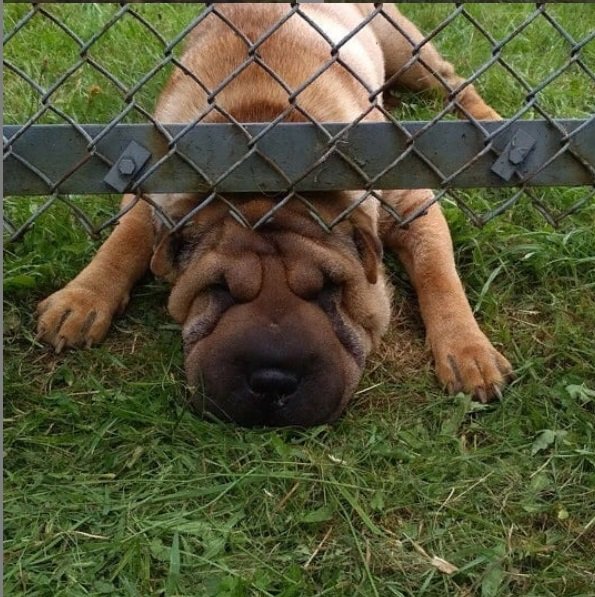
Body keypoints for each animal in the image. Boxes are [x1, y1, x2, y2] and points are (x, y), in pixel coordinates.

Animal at [37, 3, 516, 424]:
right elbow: (126, 239)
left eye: (330, 289)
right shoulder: (155, 188)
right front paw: (81, 298)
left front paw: (468, 351)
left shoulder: (411, 203)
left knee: (455, 83)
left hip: (408, 50)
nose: (272, 381)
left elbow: (439, 275)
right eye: (218, 289)